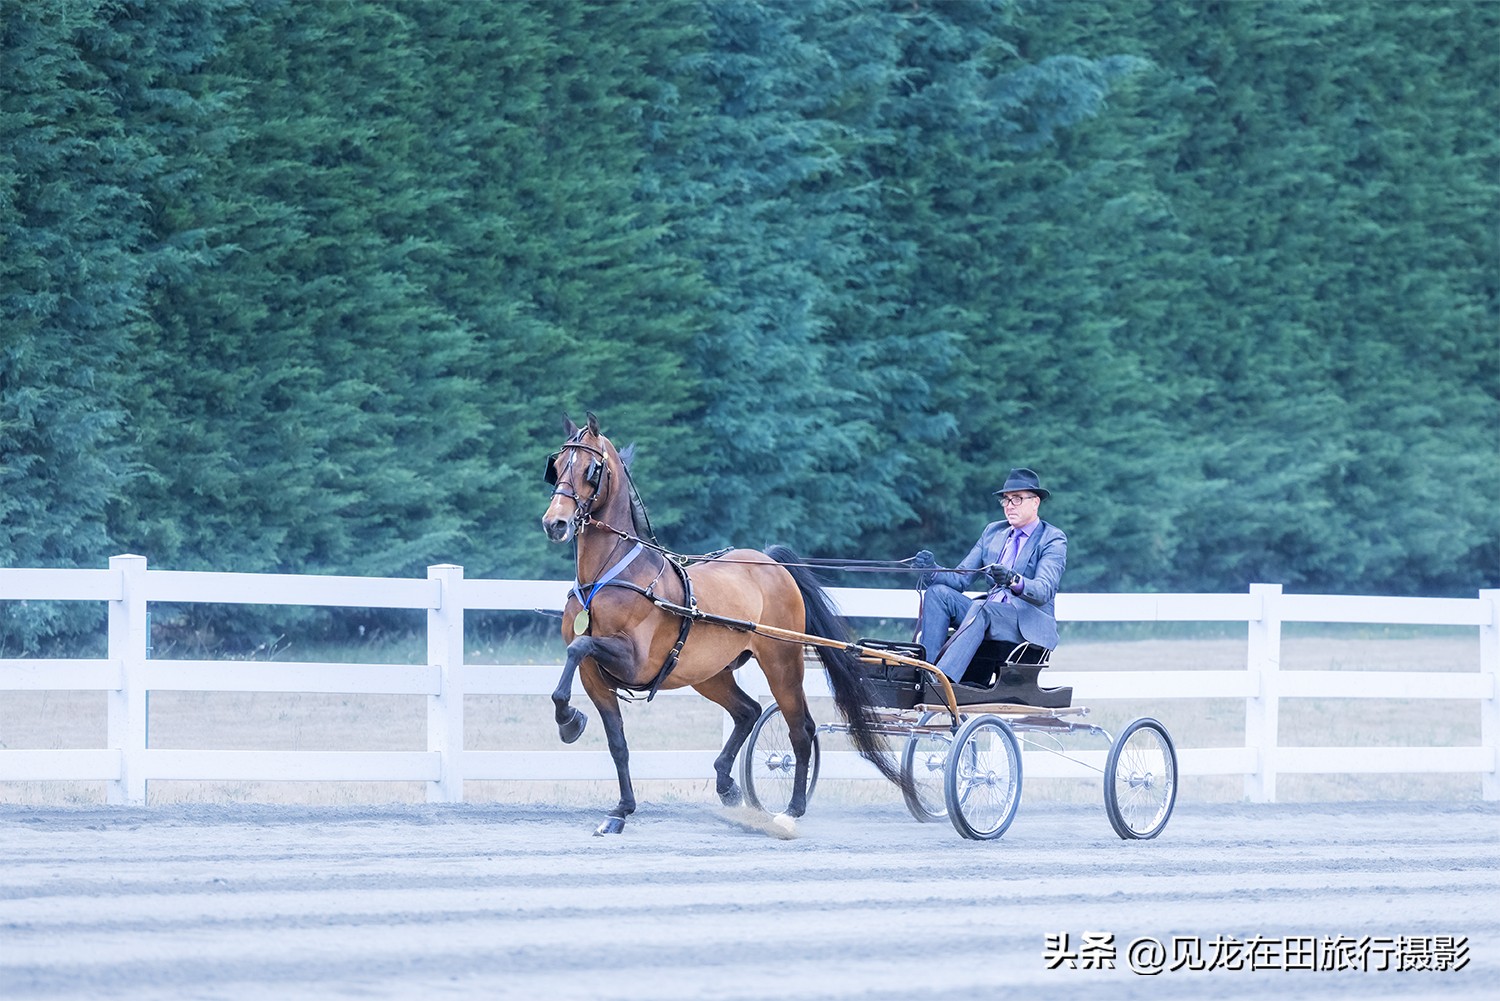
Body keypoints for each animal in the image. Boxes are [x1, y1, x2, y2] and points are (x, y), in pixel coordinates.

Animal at [543, 411, 912, 834]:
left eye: (591, 469)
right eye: (557, 466)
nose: (554, 523)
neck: (608, 576)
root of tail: (770, 563)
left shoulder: (635, 662)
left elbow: (579, 646)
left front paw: (570, 722)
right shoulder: (595, 677)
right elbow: (614, 740)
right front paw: (619, 807)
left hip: (782, 664)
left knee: (800, 730)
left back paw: (792, 810)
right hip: (708, 673)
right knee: (747, 711)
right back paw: (726, 783)